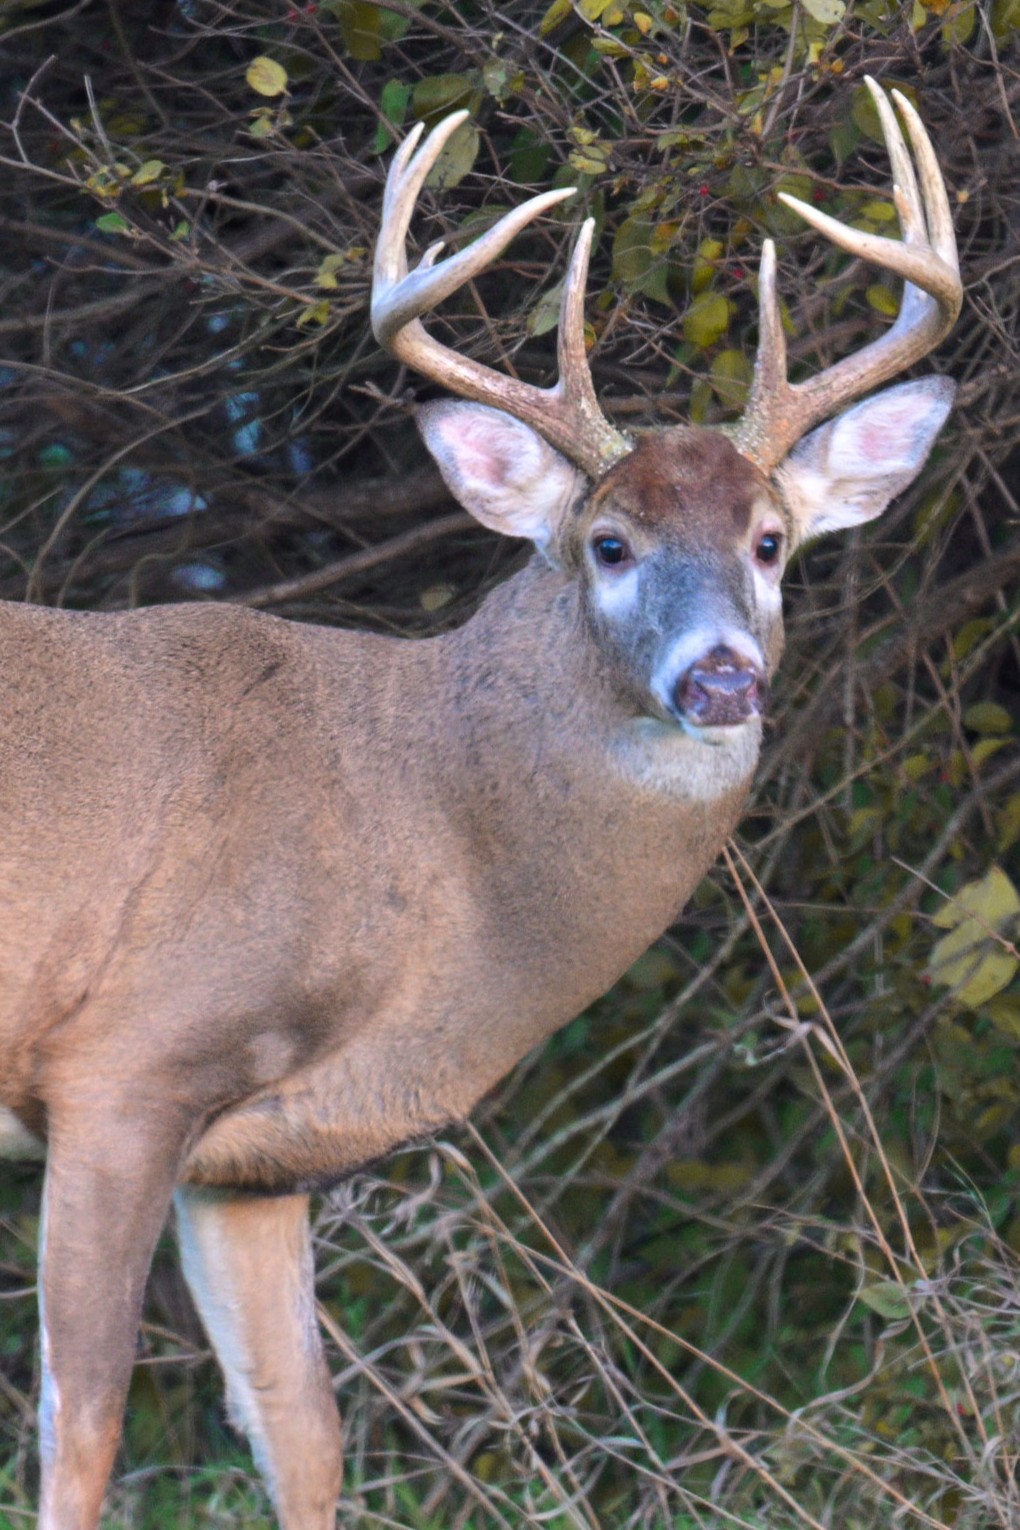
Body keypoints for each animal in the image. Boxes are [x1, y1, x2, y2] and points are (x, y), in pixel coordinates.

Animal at [0, 79, 960, 1530]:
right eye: (609, 543)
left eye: (772, 542)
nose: (722, 675)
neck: (418, 814)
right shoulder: (123, 1064)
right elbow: (83, 1425)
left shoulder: (254, 1158)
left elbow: (302, 1428)